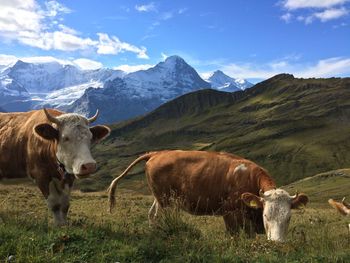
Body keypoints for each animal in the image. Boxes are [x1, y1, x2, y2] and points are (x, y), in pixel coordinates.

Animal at [108, 152, 308, 242]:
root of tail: (158, 153)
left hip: (161, 199)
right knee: (160, 217)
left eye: (289, 217)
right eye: (266, 215)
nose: (277, 243)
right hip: (165, 201)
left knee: (151, 215)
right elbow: (235, 235)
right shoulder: (230, 213)